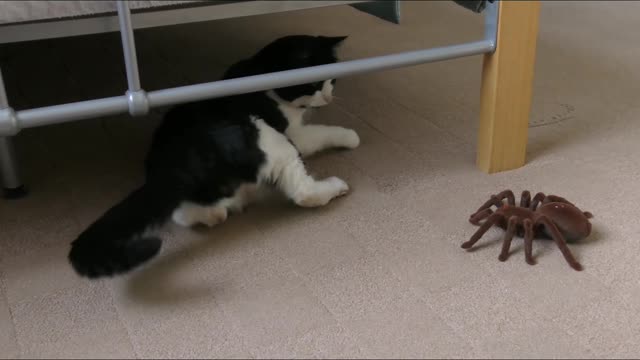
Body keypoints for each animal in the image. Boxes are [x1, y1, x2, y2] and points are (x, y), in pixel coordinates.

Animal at [70, 34, 360, 278]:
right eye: (314, 83)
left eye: (332, 80)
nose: (328, 97)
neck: (259, 73)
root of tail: (177, 165)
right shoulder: (294, 134)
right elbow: (321, 132)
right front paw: (350, 136)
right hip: (271, 139)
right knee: (303, 193)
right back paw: (334, 187)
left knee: (185, 211)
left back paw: (214, 214)